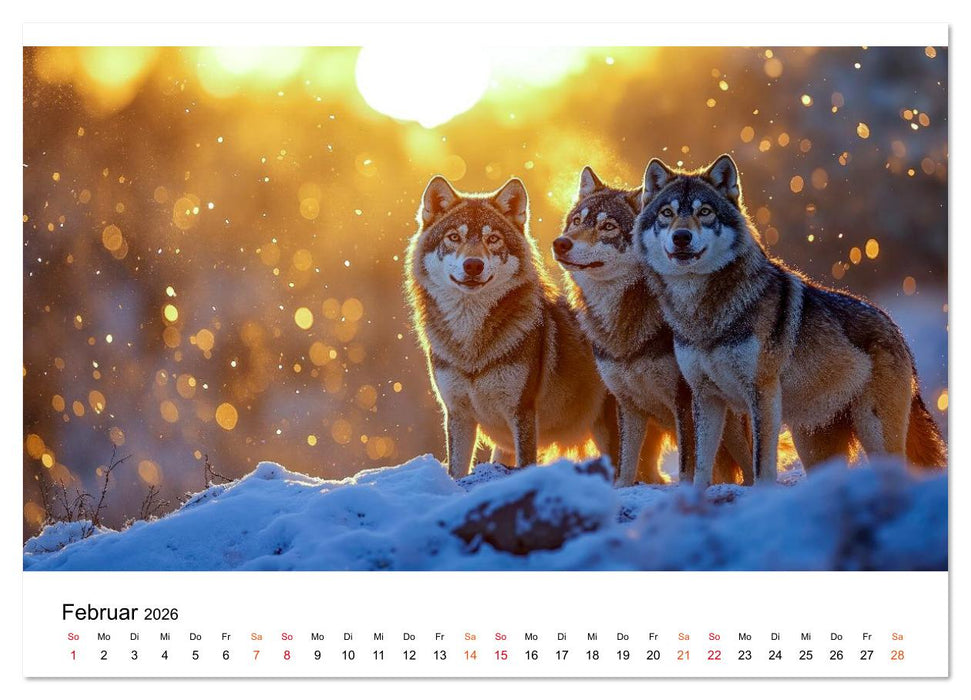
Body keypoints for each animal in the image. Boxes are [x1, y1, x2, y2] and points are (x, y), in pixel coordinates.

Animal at [405, 175, 618, 478]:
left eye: (493, 239)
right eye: (454, 237)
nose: (473, 265)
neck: (472, 348)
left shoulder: (522, 412)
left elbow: (526, 463)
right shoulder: (458, 415)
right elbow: (457, 472)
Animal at [554, 166, 753, 486]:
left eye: (608, 226)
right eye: (576, 221)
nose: (560, 243)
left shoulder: (684, 401)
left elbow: (686, 464)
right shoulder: (626, 403)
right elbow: (625, 463)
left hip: (729, 425)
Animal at [634, 154, 947, 487]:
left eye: (704, 212)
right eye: (667, 213)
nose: (681, 237)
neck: (702, 313)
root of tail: (896, 328)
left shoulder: (763, 392)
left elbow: (761, 463)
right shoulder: (706, 397)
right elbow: (702, 466)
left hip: (875, 432)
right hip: (812, 446)